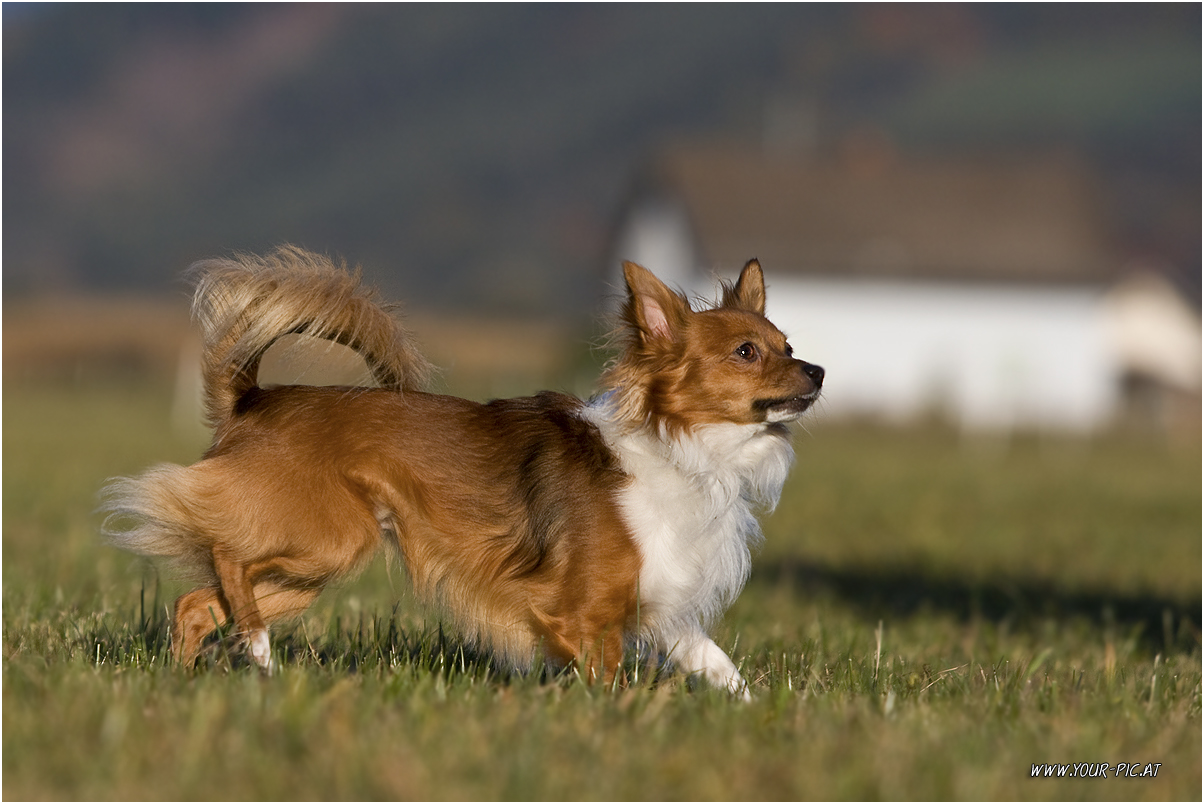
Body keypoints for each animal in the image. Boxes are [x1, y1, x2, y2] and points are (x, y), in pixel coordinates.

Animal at [103, 247, 823, 693]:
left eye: (788, 345)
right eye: (747, 352)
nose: (817, 370)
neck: (686, 449)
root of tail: (254, 399)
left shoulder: (663, 609)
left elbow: (721, 667)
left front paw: (756, 712)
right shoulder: (580, 614)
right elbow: (609, 680)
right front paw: (612, 722)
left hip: (310, 568)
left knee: (197, 604)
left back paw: (196, 680)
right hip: (325, 539)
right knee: (226, 560)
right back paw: (253, 647)